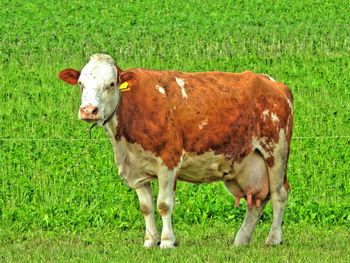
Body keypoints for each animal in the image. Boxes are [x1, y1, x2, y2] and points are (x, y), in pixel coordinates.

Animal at [57, 54, 292, 250]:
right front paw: (150, 241)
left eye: (111, 84)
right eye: (81, 84)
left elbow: (164, 204)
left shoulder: (168, 162)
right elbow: (146, 207)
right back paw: (241, 240)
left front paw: (167, 241)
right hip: (246, 164)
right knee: (257, 201)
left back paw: (273, 239)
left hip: (276, 151)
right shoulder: (136, 169)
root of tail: (274, 83)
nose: (88, 110)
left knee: (279, 194)